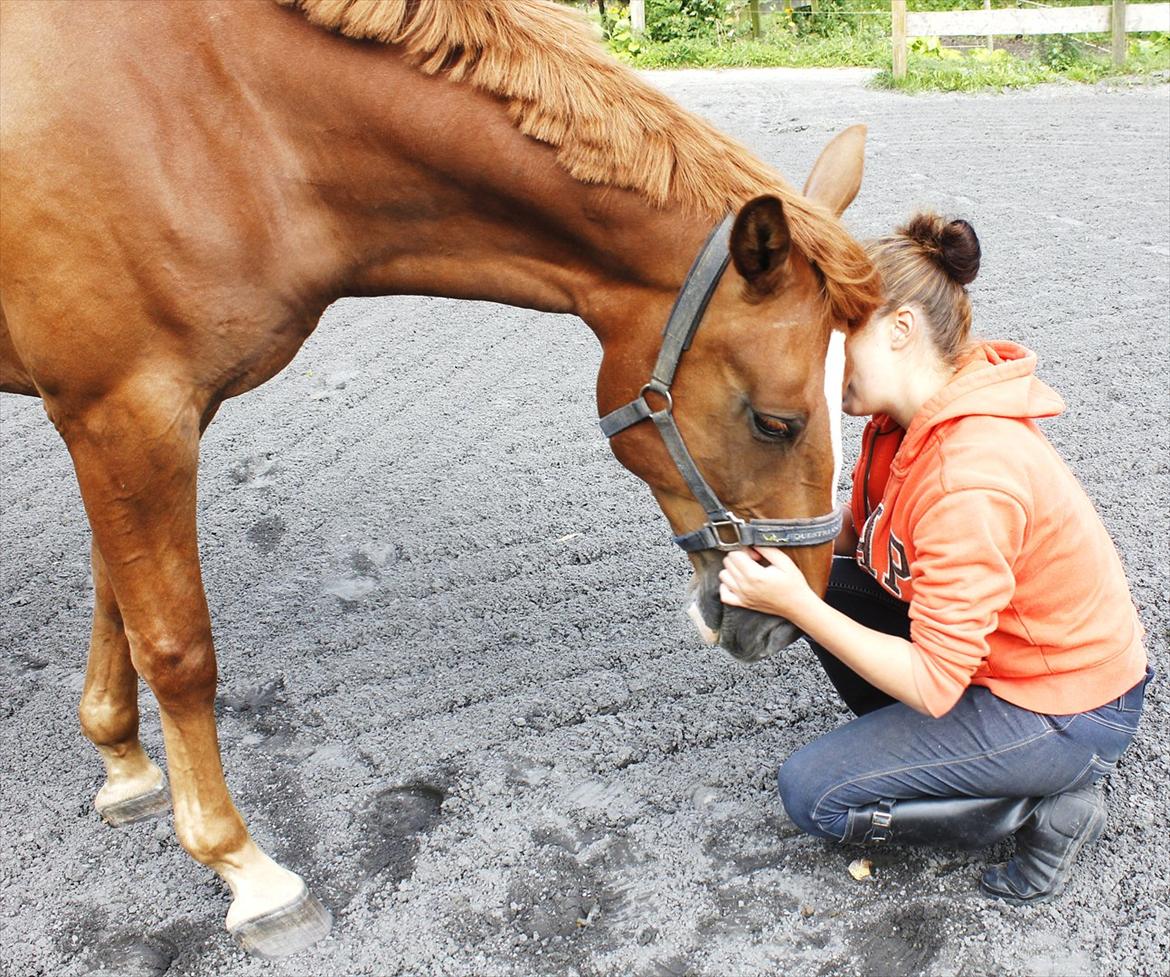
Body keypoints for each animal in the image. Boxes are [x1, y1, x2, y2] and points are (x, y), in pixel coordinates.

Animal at [0, 0, 879, 959]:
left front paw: (123, 764)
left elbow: (114, 603)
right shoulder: (126, 411)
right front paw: (242, 867)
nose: (789, 620)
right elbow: (176, 646)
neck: (222, 110)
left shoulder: (133, 419)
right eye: (776, 421)